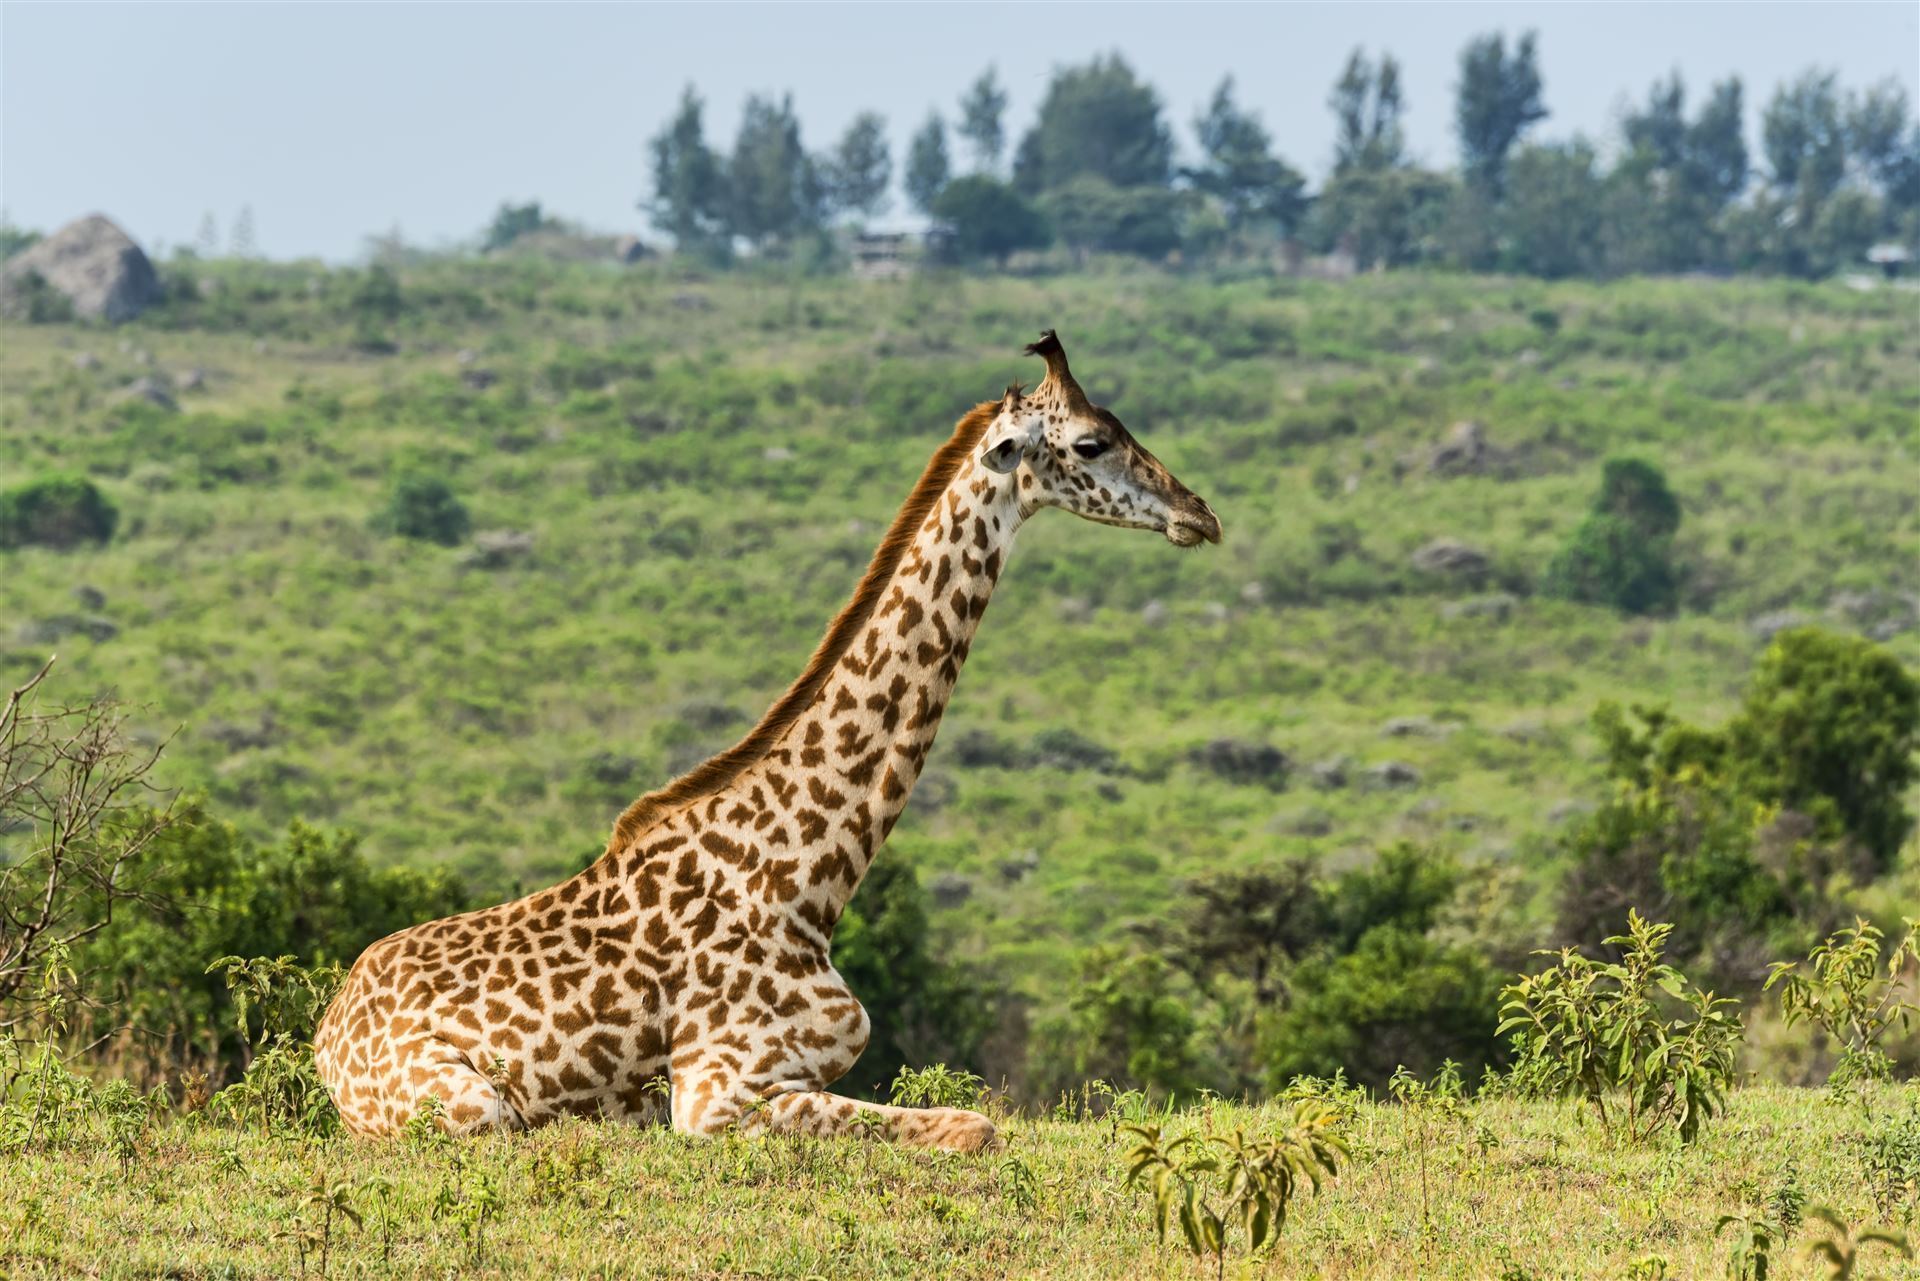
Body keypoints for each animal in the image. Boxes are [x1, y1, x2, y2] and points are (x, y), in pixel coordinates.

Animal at [313, 331, 1221, 1150]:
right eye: (1091, 441)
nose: (1201, 514)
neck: (809, 877)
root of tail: (326, 1032)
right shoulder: (716, 1092)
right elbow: (975, 1125)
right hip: (469, 1104)